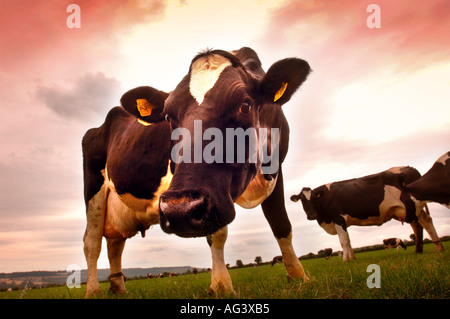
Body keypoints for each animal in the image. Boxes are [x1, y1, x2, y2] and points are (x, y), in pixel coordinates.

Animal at [82, 47, 312, 298]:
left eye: (245, 105)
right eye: (168, 116)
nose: (178, 210)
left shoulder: (275, 169)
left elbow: (281, 224)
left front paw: (298, 276)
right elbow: (217, 234)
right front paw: (221, 285)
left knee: (115, 244)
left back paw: (119, 289)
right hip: (93, 193)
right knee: (92, 244)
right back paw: (92, 290)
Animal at [292, 166, 442, 262]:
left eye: (314, 197)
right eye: (302, 200)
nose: (311, 215)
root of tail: (410, 168)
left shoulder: (338, 219)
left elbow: (343, 241)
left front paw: (346, 260)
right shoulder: (342, 222)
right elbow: (348, 240)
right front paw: (352, 258)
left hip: (413, 205)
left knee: (425, 222)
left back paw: (437, 248)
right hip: (405, 210)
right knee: (418, 225)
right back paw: (422, 250)